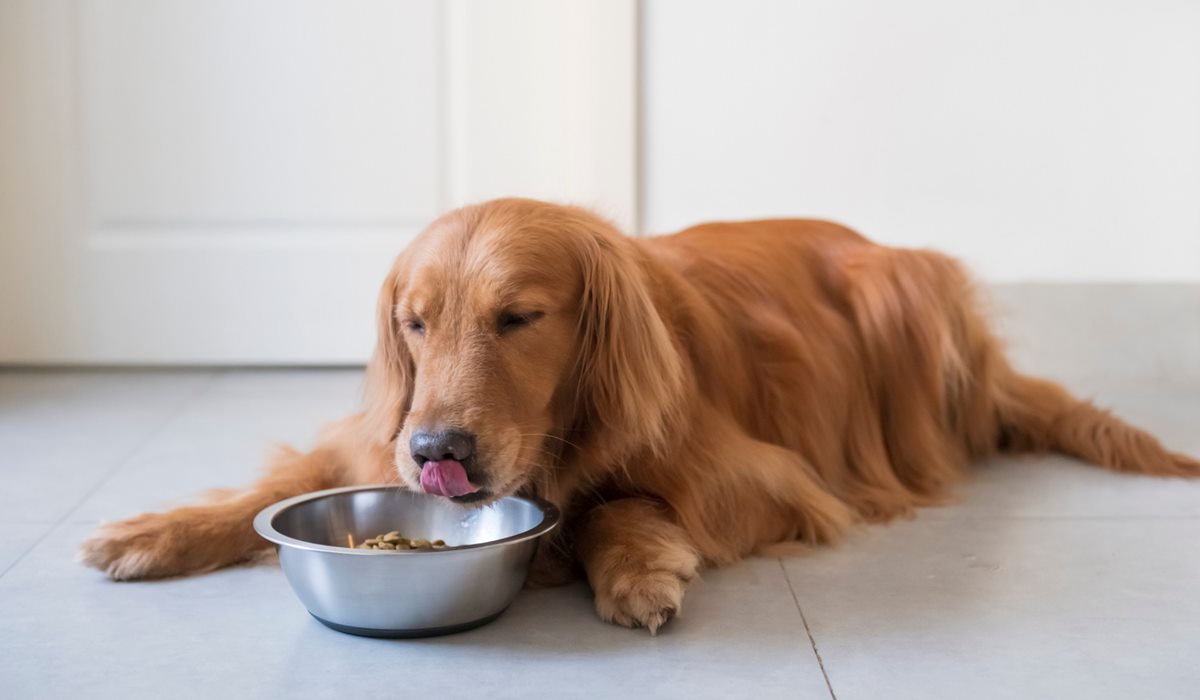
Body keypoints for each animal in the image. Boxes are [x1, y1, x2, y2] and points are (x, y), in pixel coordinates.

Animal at [79, 198, 1195, 633]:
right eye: (414, 321)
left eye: (519, 317)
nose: (437, 450)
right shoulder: (375, 434)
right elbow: (275, 488)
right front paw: (155, 530)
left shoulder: (767, 478)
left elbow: (618, 501)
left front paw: (634, 567)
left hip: (906, 294)